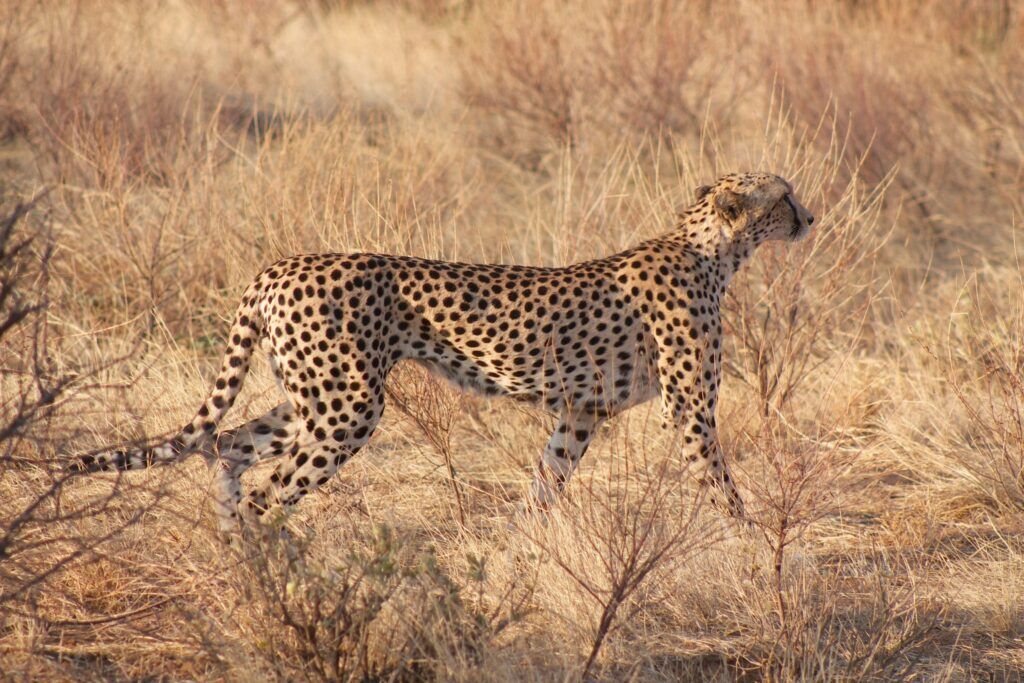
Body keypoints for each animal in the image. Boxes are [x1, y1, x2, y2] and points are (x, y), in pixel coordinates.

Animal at [75, 171, 814, 536]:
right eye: (783, 195)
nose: (810, 217)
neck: (713, 249)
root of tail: (280, 266)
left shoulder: (581, 411)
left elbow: (547, 481)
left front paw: (518, 551)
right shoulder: (687, 411)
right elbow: (720, 484)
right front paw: (752, 547)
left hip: (312, 399)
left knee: (227, 445)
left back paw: (231, 553)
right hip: (346, 409)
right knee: (265, 491)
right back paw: (274, 576)